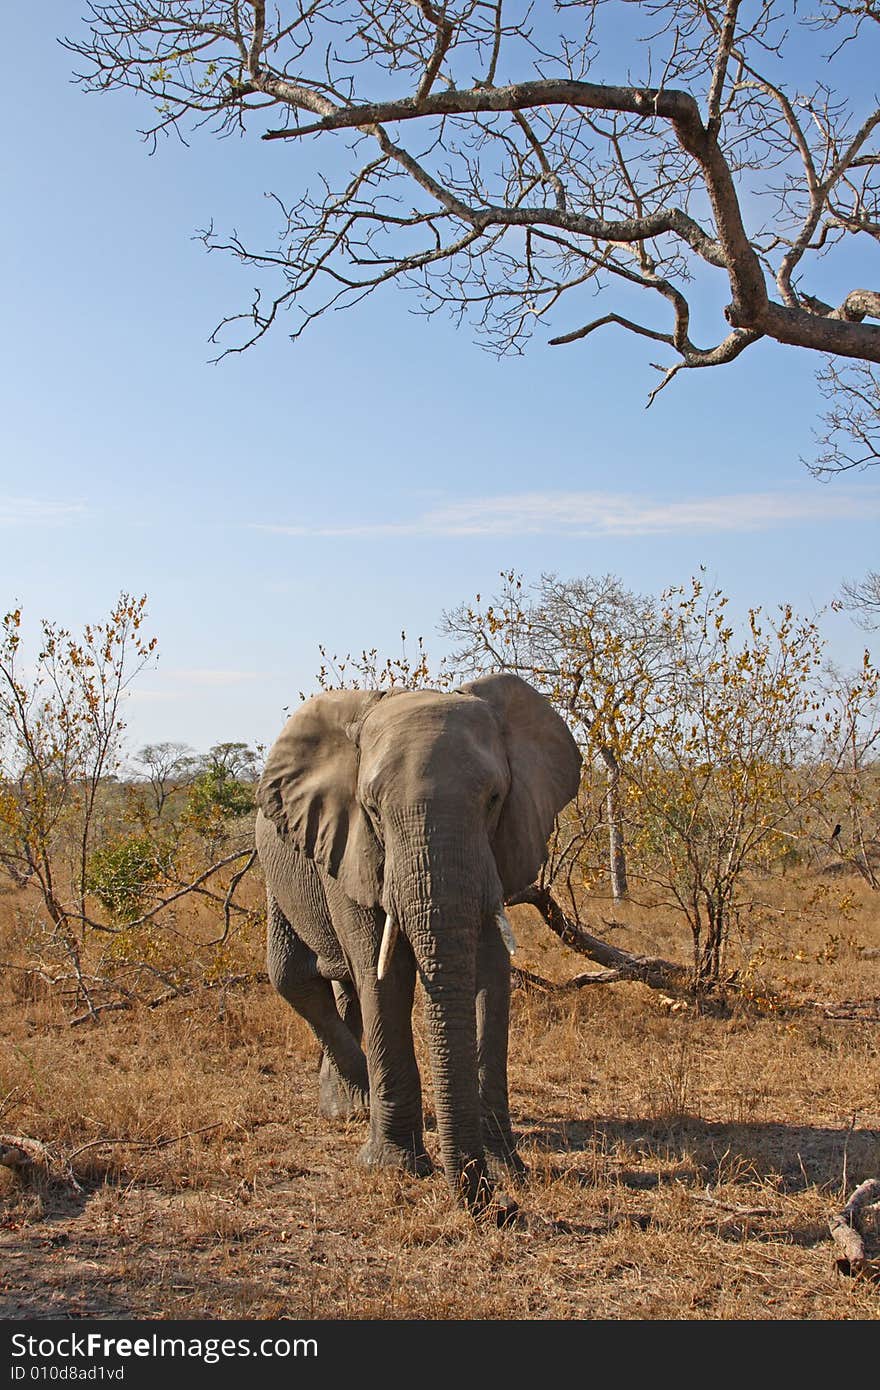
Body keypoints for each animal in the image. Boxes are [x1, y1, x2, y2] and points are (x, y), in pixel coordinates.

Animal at [254, 669, 581, 1206]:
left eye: (494, 799)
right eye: (371, 809)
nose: (499, 1207)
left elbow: (490, 975)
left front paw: (509, 1170)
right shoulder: (352, 846)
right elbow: (381, 976)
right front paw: (396, 1168)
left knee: (339, 985)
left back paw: (349, 1104)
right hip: (279, 865)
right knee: (295, 978)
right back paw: (357, 1101)